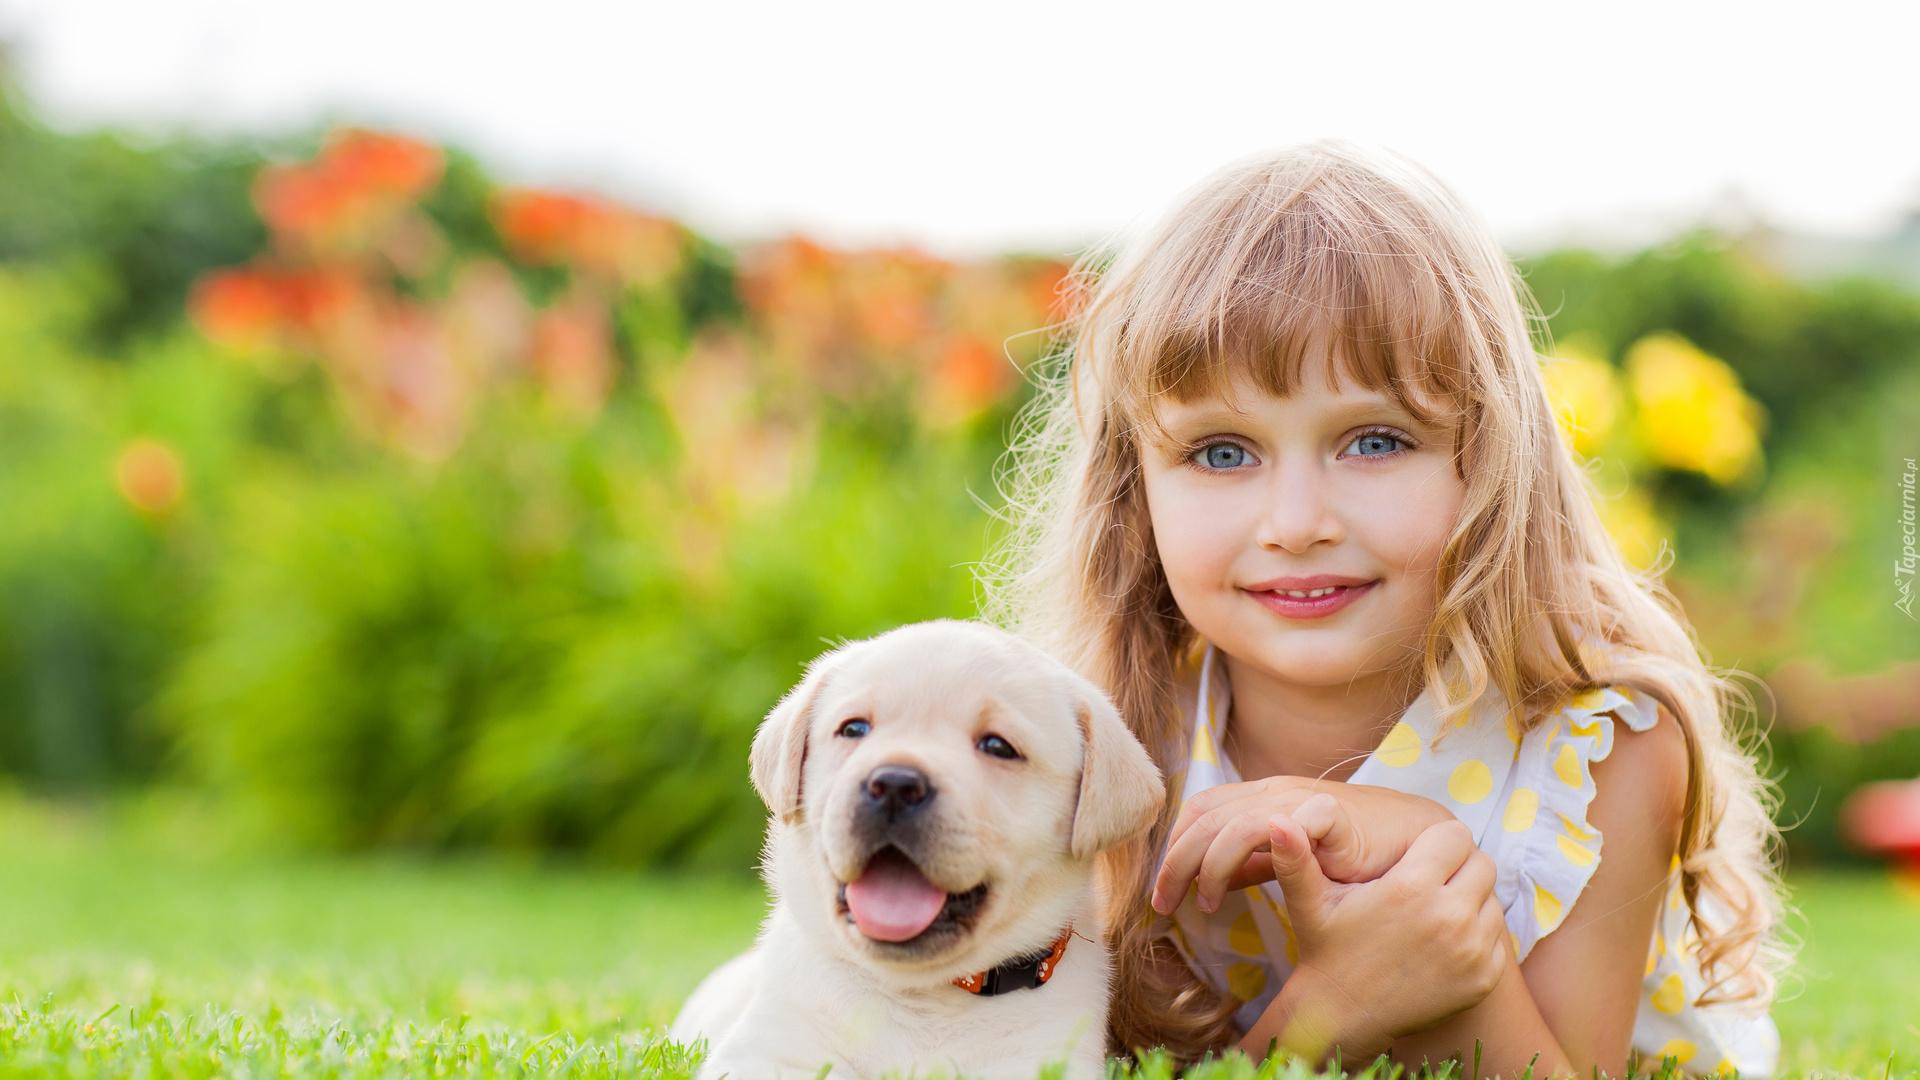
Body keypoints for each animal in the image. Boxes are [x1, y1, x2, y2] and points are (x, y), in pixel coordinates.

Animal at [668, 618, 1159, 1076]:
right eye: (854, 729)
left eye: (998, 746)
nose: (895, 785)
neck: (923, 993)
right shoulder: (769, 1049)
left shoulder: (1043, 1059)